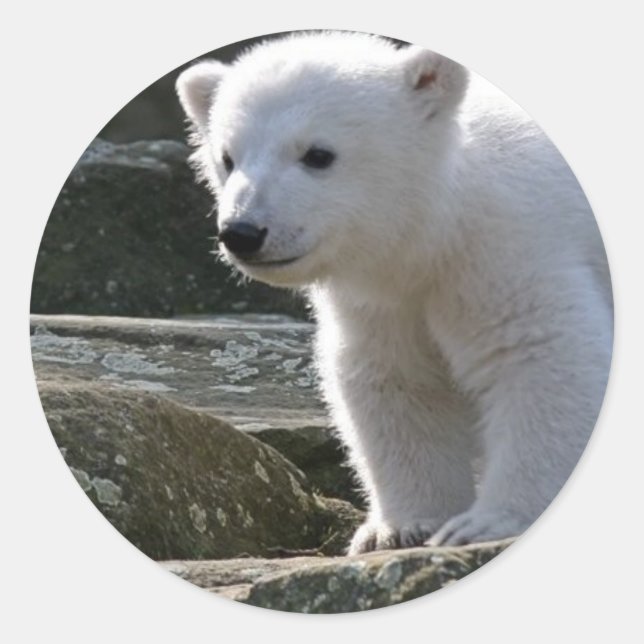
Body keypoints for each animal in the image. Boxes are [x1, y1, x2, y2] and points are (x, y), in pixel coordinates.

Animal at [176, 31, 612, 553]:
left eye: (317, 154)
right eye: (227, 158)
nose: (242, 232)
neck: (438, 224)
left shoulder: (509, 249)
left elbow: (544, 357)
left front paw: (487, 522)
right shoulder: (381, 300)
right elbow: (394, 379)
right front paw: (401, 528)